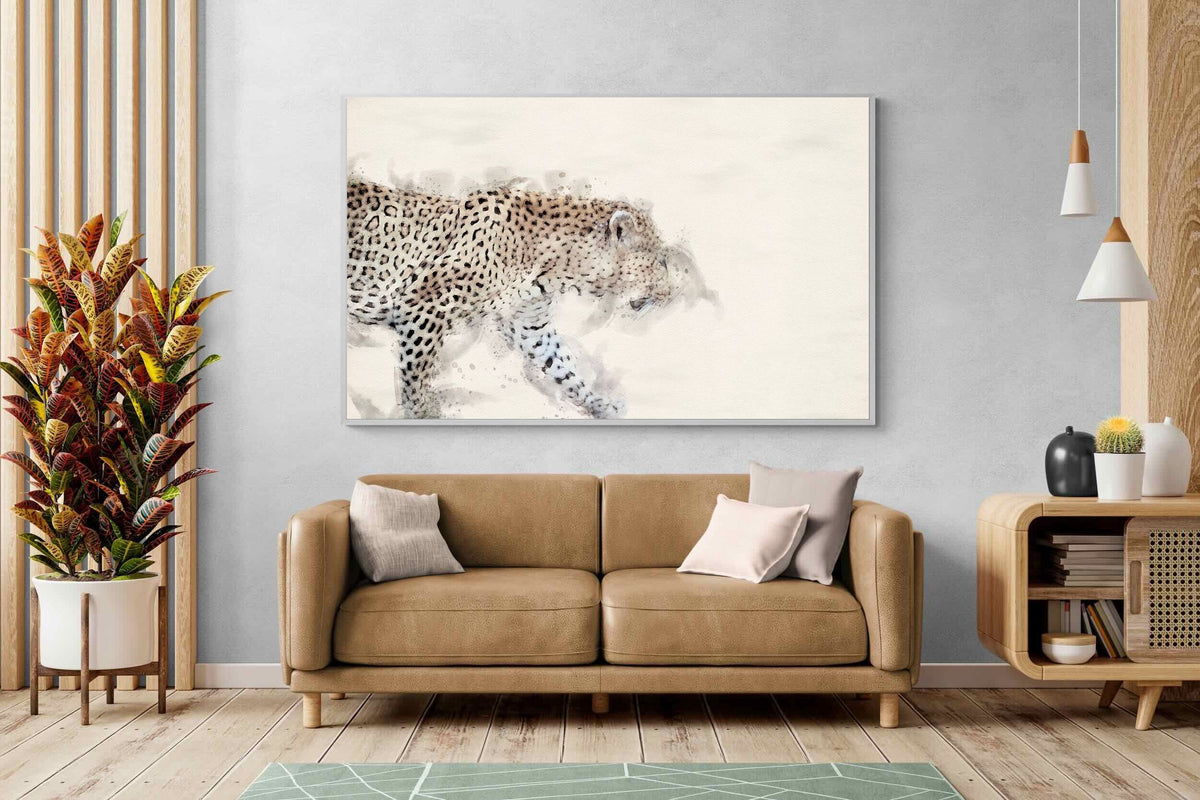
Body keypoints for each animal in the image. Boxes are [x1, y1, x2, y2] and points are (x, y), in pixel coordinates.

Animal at [346, 178, 704, 419]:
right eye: (660, 262)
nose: (673, 292)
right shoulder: (422, 305)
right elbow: (415, 375)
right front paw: (423, 413)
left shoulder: (530, 324)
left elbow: (563, 365)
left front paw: (598, 404)